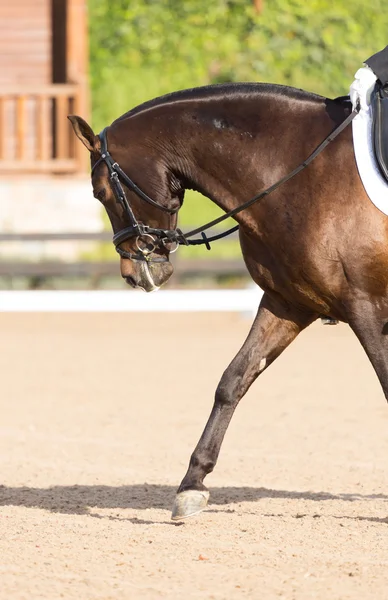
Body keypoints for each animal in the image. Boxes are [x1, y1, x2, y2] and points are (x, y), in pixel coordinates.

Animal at [68, 82, 388, 516]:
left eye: (100, 192)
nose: (134, 275)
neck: (298, 174)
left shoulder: (365, 306)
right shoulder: (288, 303)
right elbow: (234, 379)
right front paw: (191, 485)